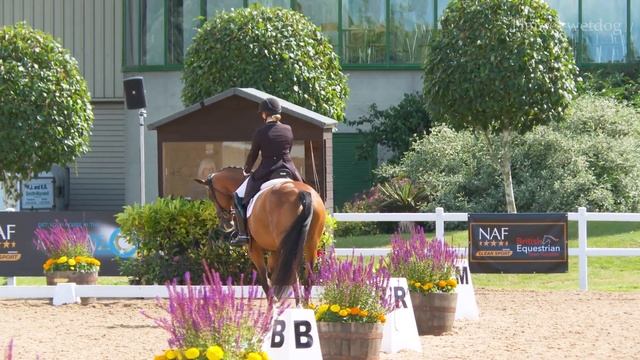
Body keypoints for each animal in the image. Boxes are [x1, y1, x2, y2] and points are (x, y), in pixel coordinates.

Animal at [194, 167, 324, 302]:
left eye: (211, 196)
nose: (227, 224)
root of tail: (302, 193)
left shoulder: (254, 249)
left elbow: (263, 277)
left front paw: (272, 301)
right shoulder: (275, 250)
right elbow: (272, 272)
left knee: (293, 274)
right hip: (311, 244)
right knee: (307, 276)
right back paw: (304, 303)